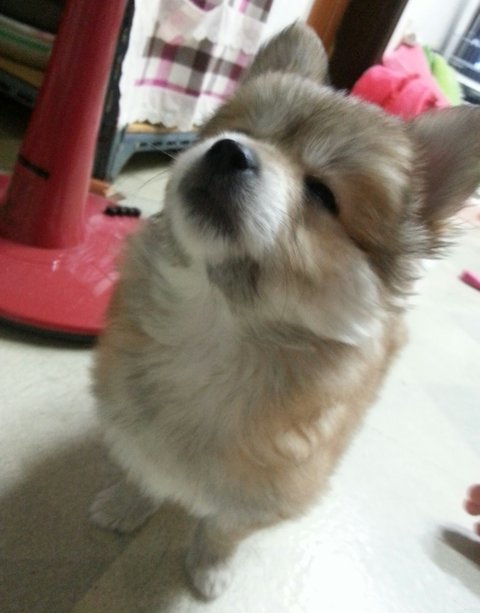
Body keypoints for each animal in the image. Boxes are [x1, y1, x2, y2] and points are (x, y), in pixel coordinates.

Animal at [90, 24, 480, 599]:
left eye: (321, 193)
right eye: (239, 131)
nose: (228, 151)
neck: (215, 332)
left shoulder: (270, 497)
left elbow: (222, 528)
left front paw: (210, 567)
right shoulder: (131, 429)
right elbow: (144, 472)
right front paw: (125, 504)